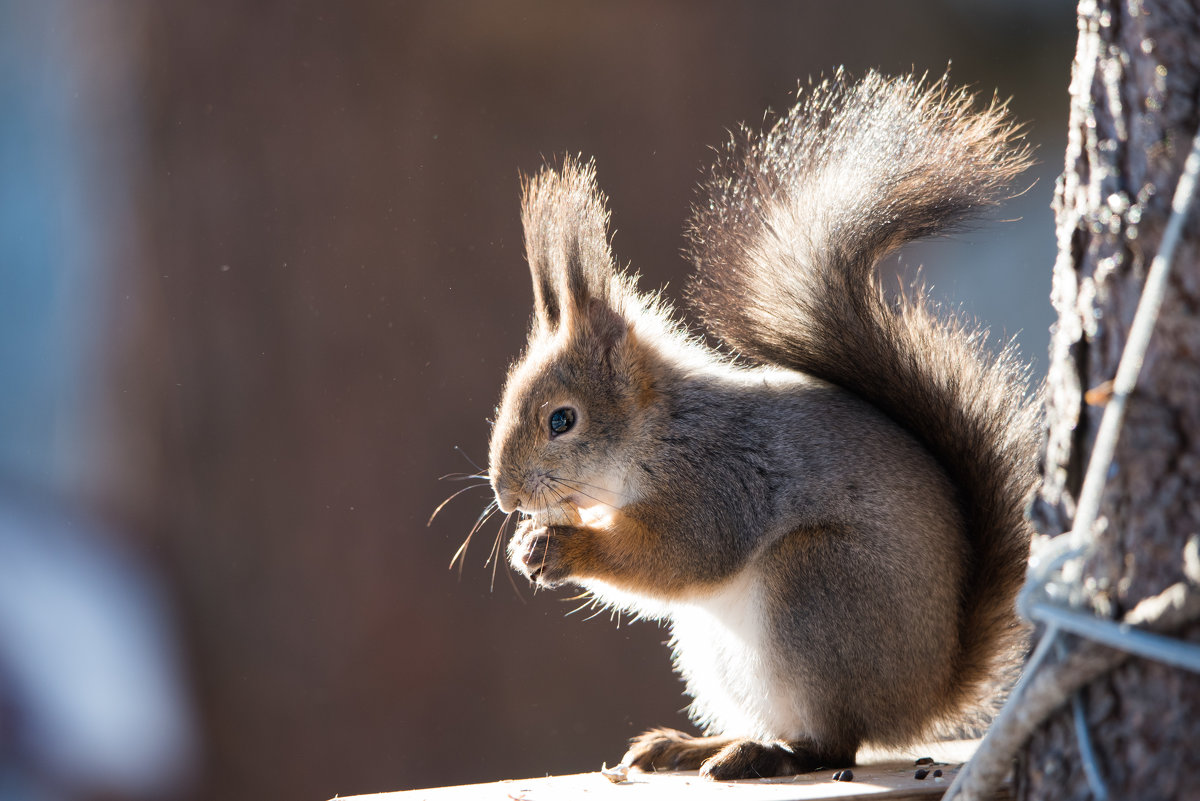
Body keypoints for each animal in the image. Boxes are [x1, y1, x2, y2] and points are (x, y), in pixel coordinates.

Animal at [482, 71, 1036, 777]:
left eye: (562, 419)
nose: (506, 496)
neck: (658, 431)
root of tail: (925, 696)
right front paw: (532, 539)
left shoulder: (722, 481)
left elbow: (680, 555)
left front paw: (567, 546)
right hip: (713, 649)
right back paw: (692, 745)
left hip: (817, 590)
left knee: (832, 742)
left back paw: (761, 756)